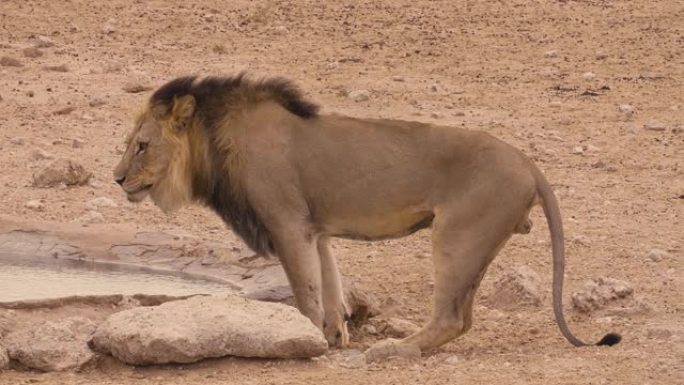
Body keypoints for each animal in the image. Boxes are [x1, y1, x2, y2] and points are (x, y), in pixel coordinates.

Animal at [113, 72, 620, 352]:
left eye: (141, 146)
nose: (117, 179)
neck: (216, 142)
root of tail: (529, 163)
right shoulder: (313, 228)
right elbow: (329, 284)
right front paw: (334, 336)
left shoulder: (285, 223)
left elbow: (305, 290)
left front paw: (306, 337)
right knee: (460, 318)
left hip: (457, 235)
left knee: (453, 318)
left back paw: (394, 351)